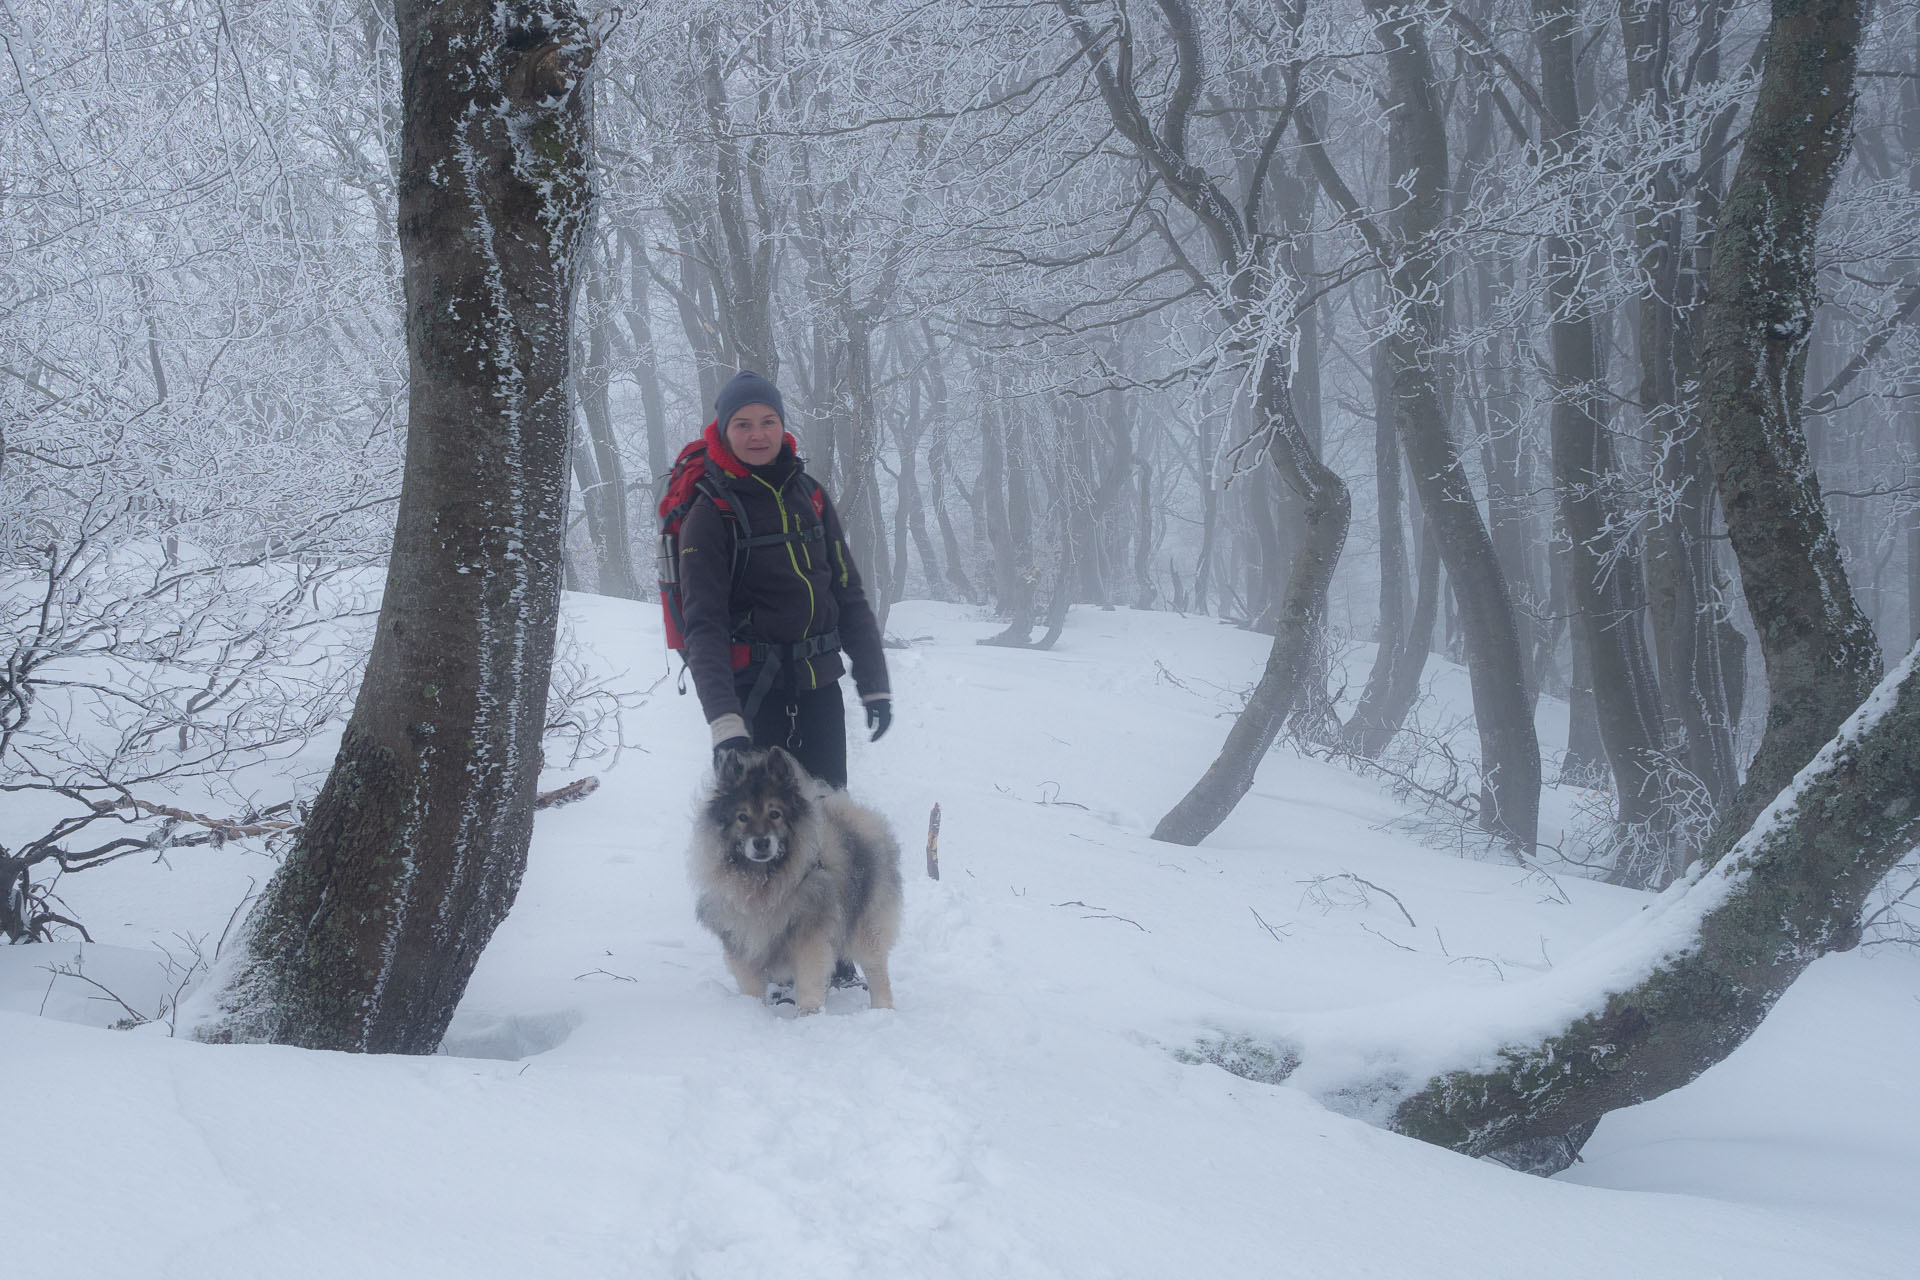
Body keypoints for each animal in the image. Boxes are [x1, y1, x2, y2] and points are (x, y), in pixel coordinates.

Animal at [691, 752, 898, 1013]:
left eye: (775, 814)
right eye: (742, 817)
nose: (761, 842)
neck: (763, 881)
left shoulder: (810, 936)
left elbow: (810, 977)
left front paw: (809, 1012)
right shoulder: (742, 941)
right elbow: (751, 985)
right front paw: (752, 1009)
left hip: (866, 926)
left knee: (876, 969)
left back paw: (881, 1009)